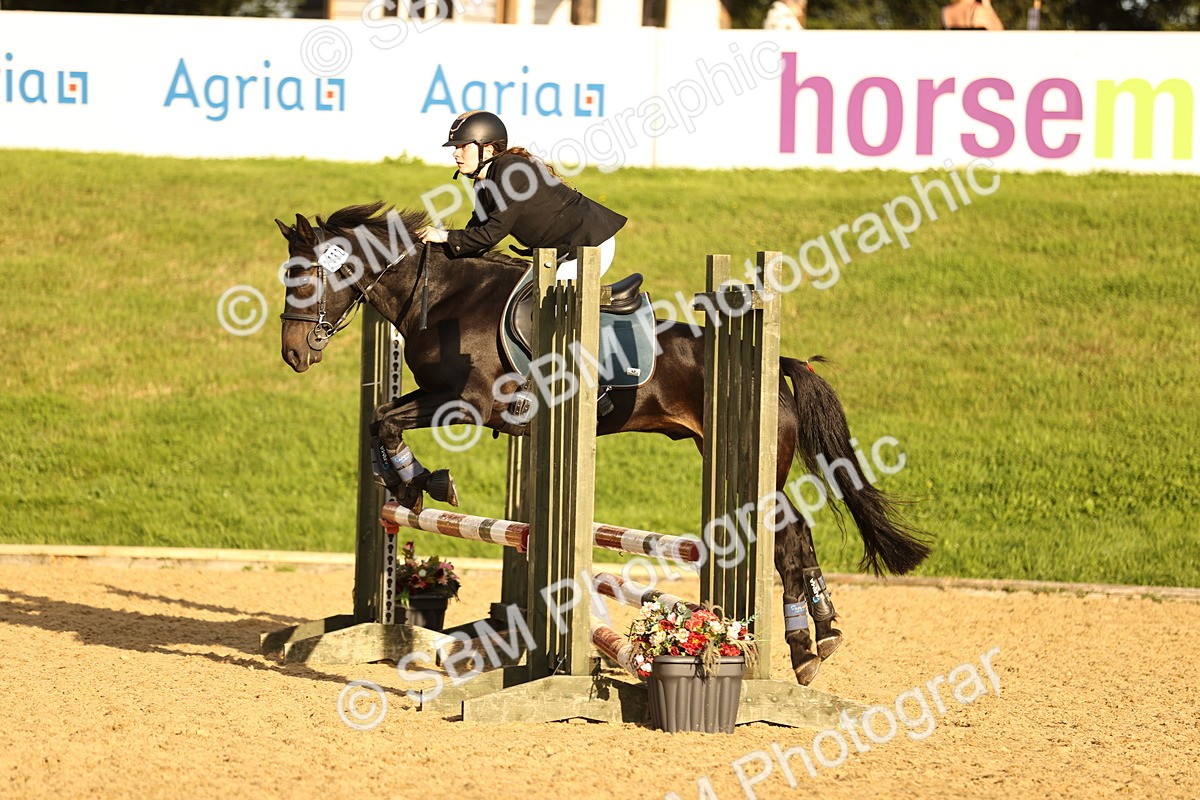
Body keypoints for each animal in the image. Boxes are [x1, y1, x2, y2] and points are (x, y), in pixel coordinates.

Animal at [274, 202, 931, 685]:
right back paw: (824, 630)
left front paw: (422, 481)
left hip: (756, 470)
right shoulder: (439, 396)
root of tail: (774, 365)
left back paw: (801, 646)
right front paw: (411, 484)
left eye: (307, 278)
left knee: (787, 535)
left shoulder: (470, 403)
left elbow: (387, 420)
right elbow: (379, 419)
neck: (443, 299)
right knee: (795, 533)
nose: (294, 355)